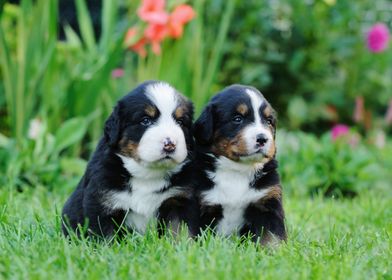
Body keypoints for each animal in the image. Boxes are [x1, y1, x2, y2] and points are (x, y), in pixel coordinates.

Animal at [63, 80, 201, 237]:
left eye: (180, 122)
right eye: (146, 120)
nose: (170, 144)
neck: (147, 175)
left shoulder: (179, 200)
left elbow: (180, 233)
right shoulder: (102, 203)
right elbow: (106, 238)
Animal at [192, 85, 286, 245]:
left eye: (268, 121)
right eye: (237, 119)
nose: (263, 138)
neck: (237, 170)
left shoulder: (267, 203)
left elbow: (271, 238)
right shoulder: (203, 203)